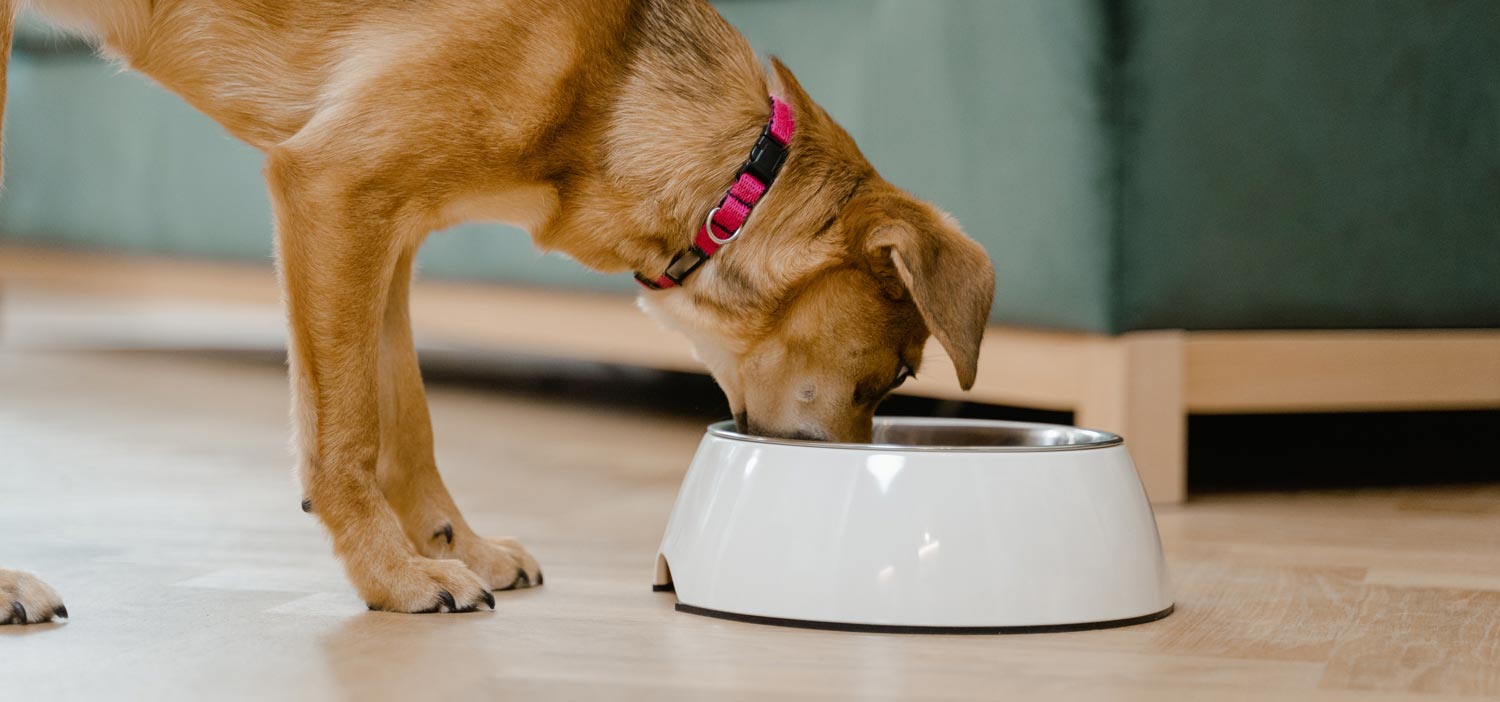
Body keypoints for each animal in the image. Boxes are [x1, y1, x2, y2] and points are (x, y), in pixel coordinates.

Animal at [5, 0, 1002, 618]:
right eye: (897, 372)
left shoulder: (388, 233)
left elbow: (405, 421)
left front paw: (453, 547)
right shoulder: (332, 188)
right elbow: (346, 430)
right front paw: (394, 578)